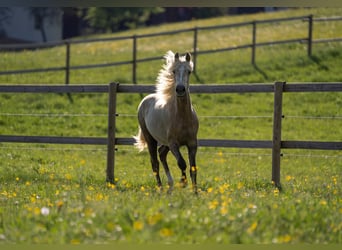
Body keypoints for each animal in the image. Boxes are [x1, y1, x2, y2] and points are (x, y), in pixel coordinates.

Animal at [133, 49, 199, 192]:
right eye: (173, 71)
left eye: (189, 71)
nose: (180, 89)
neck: (182, 117)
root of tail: (145, 100)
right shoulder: (173, 143)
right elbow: (182, 163)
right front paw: (183, 182)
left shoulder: (192, 143)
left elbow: (193, 168)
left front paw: (195, 192)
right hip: (151, 139)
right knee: (155, 163)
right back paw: (161, 188)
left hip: (164, 142)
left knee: (162, 154)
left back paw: (170, 184)